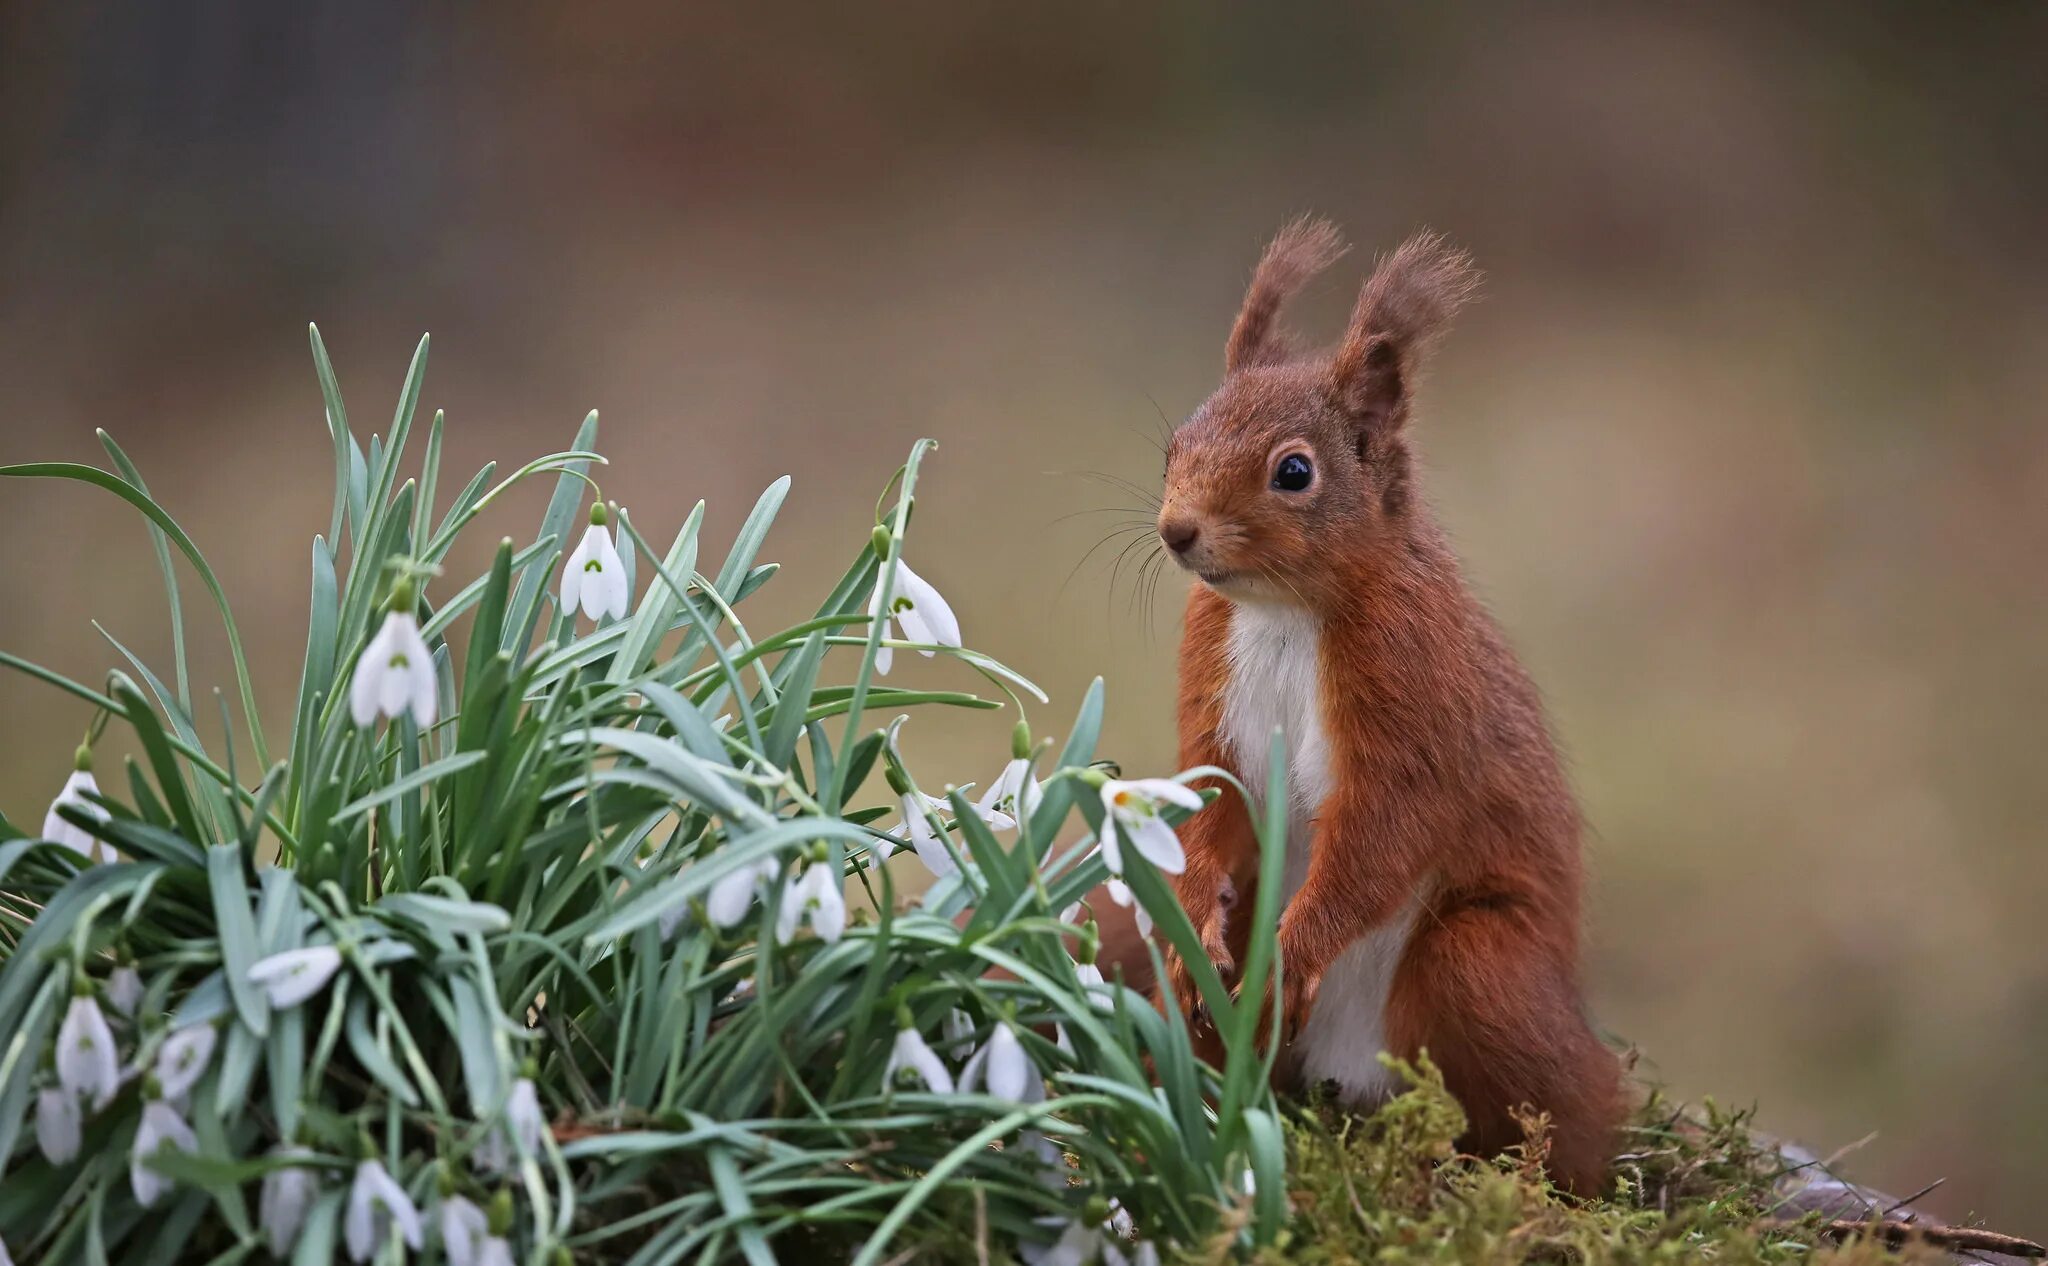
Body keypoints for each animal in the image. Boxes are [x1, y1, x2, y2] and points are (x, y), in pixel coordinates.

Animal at [1155, 219, 1630, 1196]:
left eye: (1295, 471)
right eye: (1174, 443)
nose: (1176, 530)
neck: (1283, 611)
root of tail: (1346, 1079)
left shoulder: (1412, 689)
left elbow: (1383, 832)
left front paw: (1294, 954)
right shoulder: (1209, 674)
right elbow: (1211, 790)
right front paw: (1194, 913)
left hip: (1480, 967)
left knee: (1565, 1117)